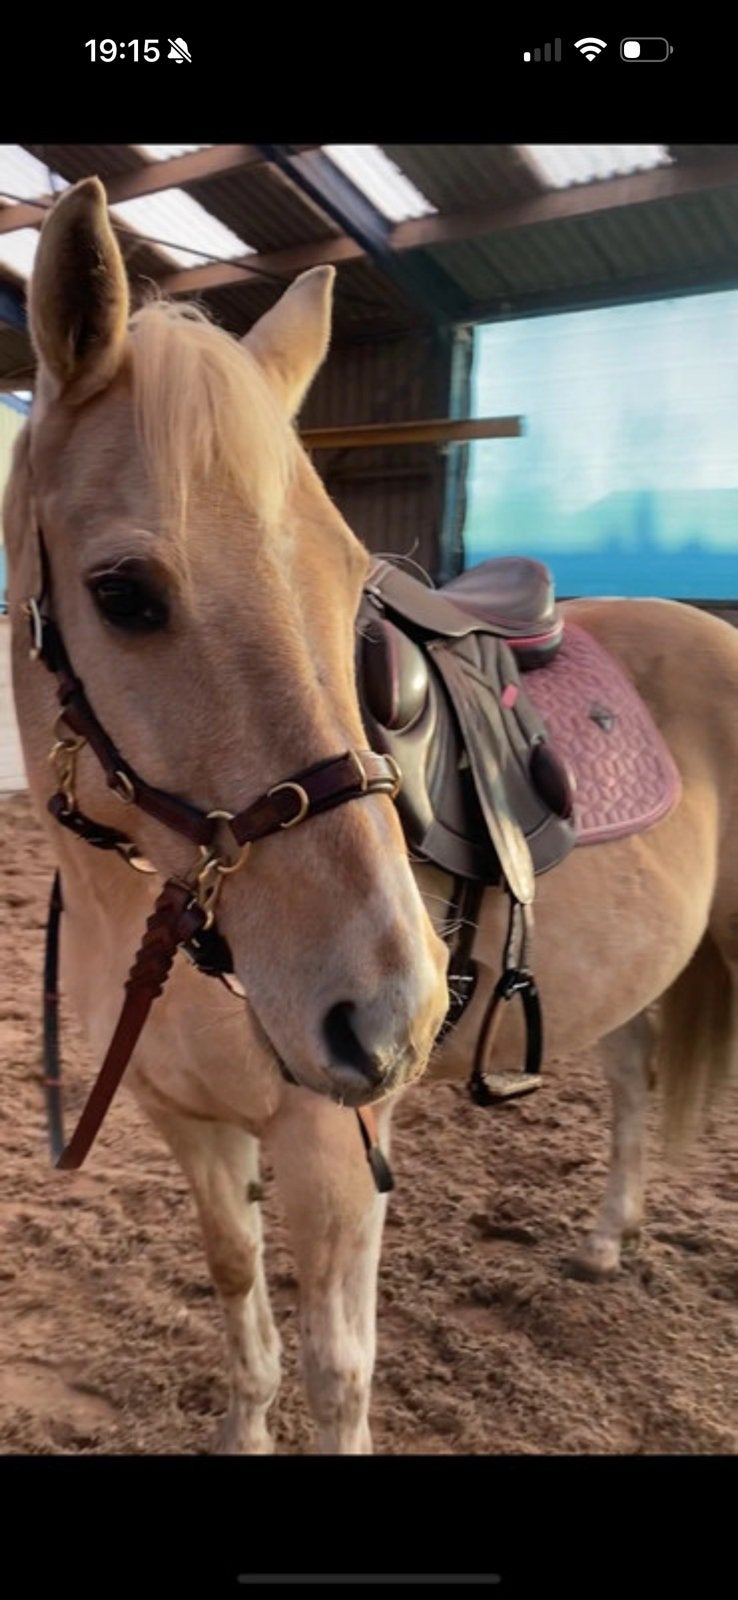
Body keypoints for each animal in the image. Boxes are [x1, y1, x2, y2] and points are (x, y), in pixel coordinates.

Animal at [5, 177, 737, 1453]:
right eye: (123, 593)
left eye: (352, 589)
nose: (396, 1017)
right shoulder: (194, 1128)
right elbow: (241, 1316)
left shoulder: (333, 1156)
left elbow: (336, 1373)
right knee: (634, 1077)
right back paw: (606, 1240)